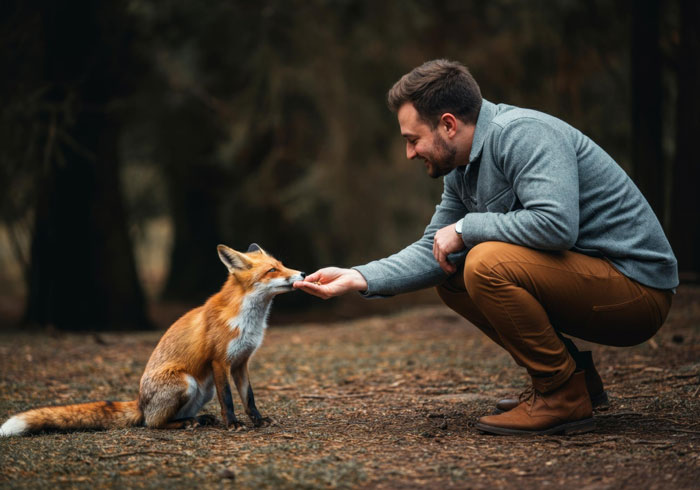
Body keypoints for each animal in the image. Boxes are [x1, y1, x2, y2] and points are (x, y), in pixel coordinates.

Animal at [0, 243, 305, 437]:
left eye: (282, 265)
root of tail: (139, 402)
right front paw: (233, 424)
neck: (247, 319)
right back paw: (187, 424)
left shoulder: (241, 362)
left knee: (163, 418)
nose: (302, 273)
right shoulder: (219, 362)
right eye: (272, 271)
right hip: (187, 381)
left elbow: (248, 397)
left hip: (202, 389)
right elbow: (229, 399)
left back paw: (198, 419)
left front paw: (258, 421)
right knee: (152, 423)